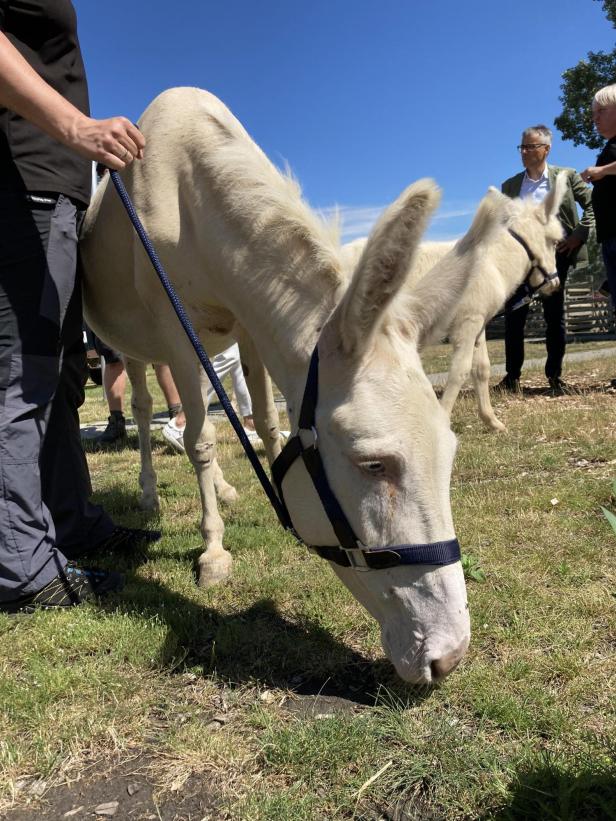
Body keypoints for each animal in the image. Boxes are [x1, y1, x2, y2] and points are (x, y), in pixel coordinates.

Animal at [82, 85, 472, 684]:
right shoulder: (176, 332)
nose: (448, 657)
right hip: (133, 347)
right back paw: (150, 492)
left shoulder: (250, 328)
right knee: (150, 409)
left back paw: (222, 487)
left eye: (449, 454)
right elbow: (201, 439)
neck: (189, 184)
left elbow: (266, 422)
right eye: (374, 465)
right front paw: (213, 551)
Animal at [344, 179, 564, 430]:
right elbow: (460, 370)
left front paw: (492, 421)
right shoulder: (467, 323)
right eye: (555, 242)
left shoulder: (478, 323)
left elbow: (481, 369)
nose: (555, 284)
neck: (491, 261)